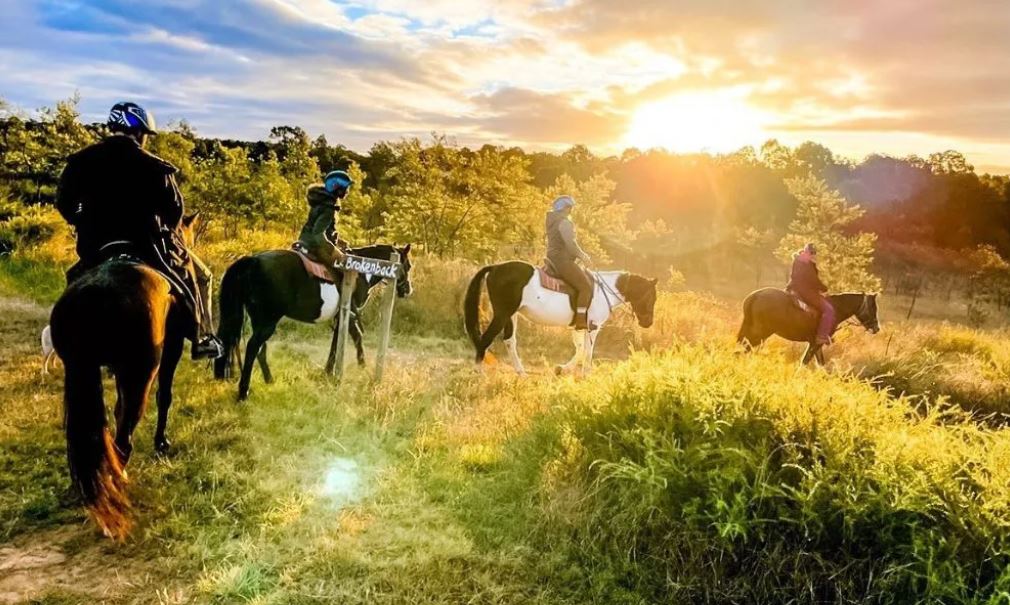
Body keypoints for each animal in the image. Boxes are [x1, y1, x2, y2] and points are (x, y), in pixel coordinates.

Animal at [49, 214, 201, 540]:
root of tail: (95, 292)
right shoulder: (171, 349)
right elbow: (165, 395)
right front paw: (162, 444)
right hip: (140, 373)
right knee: (124, 434)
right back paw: (119, 480)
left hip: (80, 372)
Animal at [213, 244, 413, 400]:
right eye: (408, 265)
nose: (408, 290)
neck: (363, 271)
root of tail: (253, 260)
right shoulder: (348, 315)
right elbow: (353, 338)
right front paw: (355, 367)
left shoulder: (342, 317)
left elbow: (340, 340)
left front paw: (331, 371)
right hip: (268, 320)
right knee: (253, 347)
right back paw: (243, 392)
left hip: (260, 319)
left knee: (259, 348)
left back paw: (269, 380)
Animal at [464, 261, 658, 375]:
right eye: (651, 297)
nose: (648, 323)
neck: (604, 290)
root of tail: (496, 267)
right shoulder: (593, 327)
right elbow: (588, 351)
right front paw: (586, 375)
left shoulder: (578, 327)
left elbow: (580, 349)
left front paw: (561, 369)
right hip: (502, 314)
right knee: (486, 339)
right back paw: (479, 373)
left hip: (511, 316)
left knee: (509, 341)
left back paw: (521, 373)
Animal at [737, 289, 880, 364]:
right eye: (873, 307)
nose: (876, 328)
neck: (836, 308)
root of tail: (755, 296)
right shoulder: (816, 343)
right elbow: (805, 362)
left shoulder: (815, 345)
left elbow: (820, 364)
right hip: (761, 333)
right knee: (744, 348)